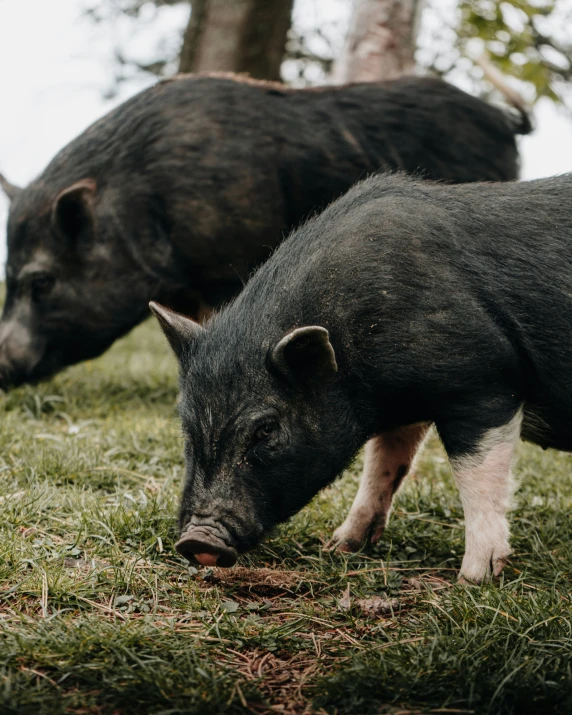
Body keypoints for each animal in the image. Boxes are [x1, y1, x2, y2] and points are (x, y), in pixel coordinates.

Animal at [151, 171, 572, 584]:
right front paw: (339, 546)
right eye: (186, 427)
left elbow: (477, 473)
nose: (196, 540)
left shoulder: (484, 381)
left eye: (266, 429)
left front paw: (474, 579)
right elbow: (384, 463)